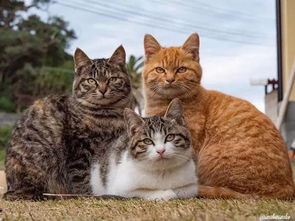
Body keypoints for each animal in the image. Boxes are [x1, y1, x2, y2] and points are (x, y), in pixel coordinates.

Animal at [4, 45, 132, 200]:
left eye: (112, 79)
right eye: (91, 80)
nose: (102, 89)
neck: (107, 116)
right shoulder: (78, 148)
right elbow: (81, 177)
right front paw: (88, 195)